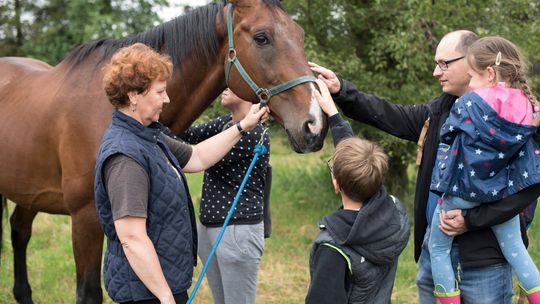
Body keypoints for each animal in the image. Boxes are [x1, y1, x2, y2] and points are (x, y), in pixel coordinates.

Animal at [0, 1, 330, 302]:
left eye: (300, 35)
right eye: (262, 37)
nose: (315, 124)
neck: (109, 108)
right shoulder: (85, 218)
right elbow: (89, 292)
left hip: (30, 190)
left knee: (19, 230)